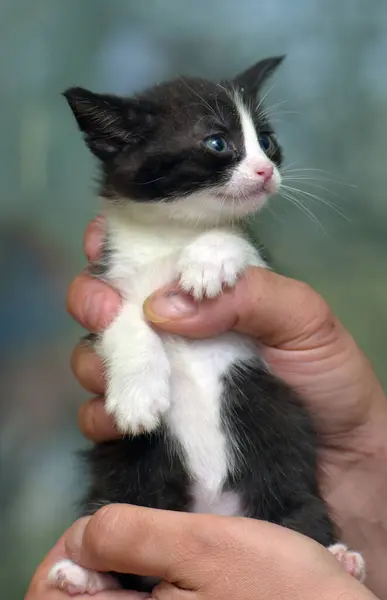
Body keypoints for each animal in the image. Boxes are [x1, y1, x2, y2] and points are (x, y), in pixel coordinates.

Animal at [50, 57, 366, 596]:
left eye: (267, 140)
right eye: (218, 143)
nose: (266, 170)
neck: (171, 233)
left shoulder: (265, 271)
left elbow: (237, 241)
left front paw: (207, 260)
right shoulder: (103, 284)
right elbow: (121, 320)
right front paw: (137, 397)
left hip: (281, 474)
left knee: (299, 513)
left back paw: (340, 558)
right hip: (126, 479)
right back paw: (84, 571)